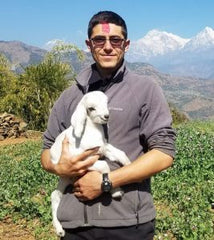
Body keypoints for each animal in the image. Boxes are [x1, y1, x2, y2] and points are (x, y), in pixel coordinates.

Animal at [50, 91, 130, 237]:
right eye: (91, 108)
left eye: (106, 102)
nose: (106, 116)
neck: (90, 132)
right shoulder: (79, 160)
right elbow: (104, 165)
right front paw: (116, 192)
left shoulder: (103, 148)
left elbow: (120, 153)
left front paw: (129, 166)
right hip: (65, 174)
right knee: (54, 196)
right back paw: (59, 229)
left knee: (56, 195)